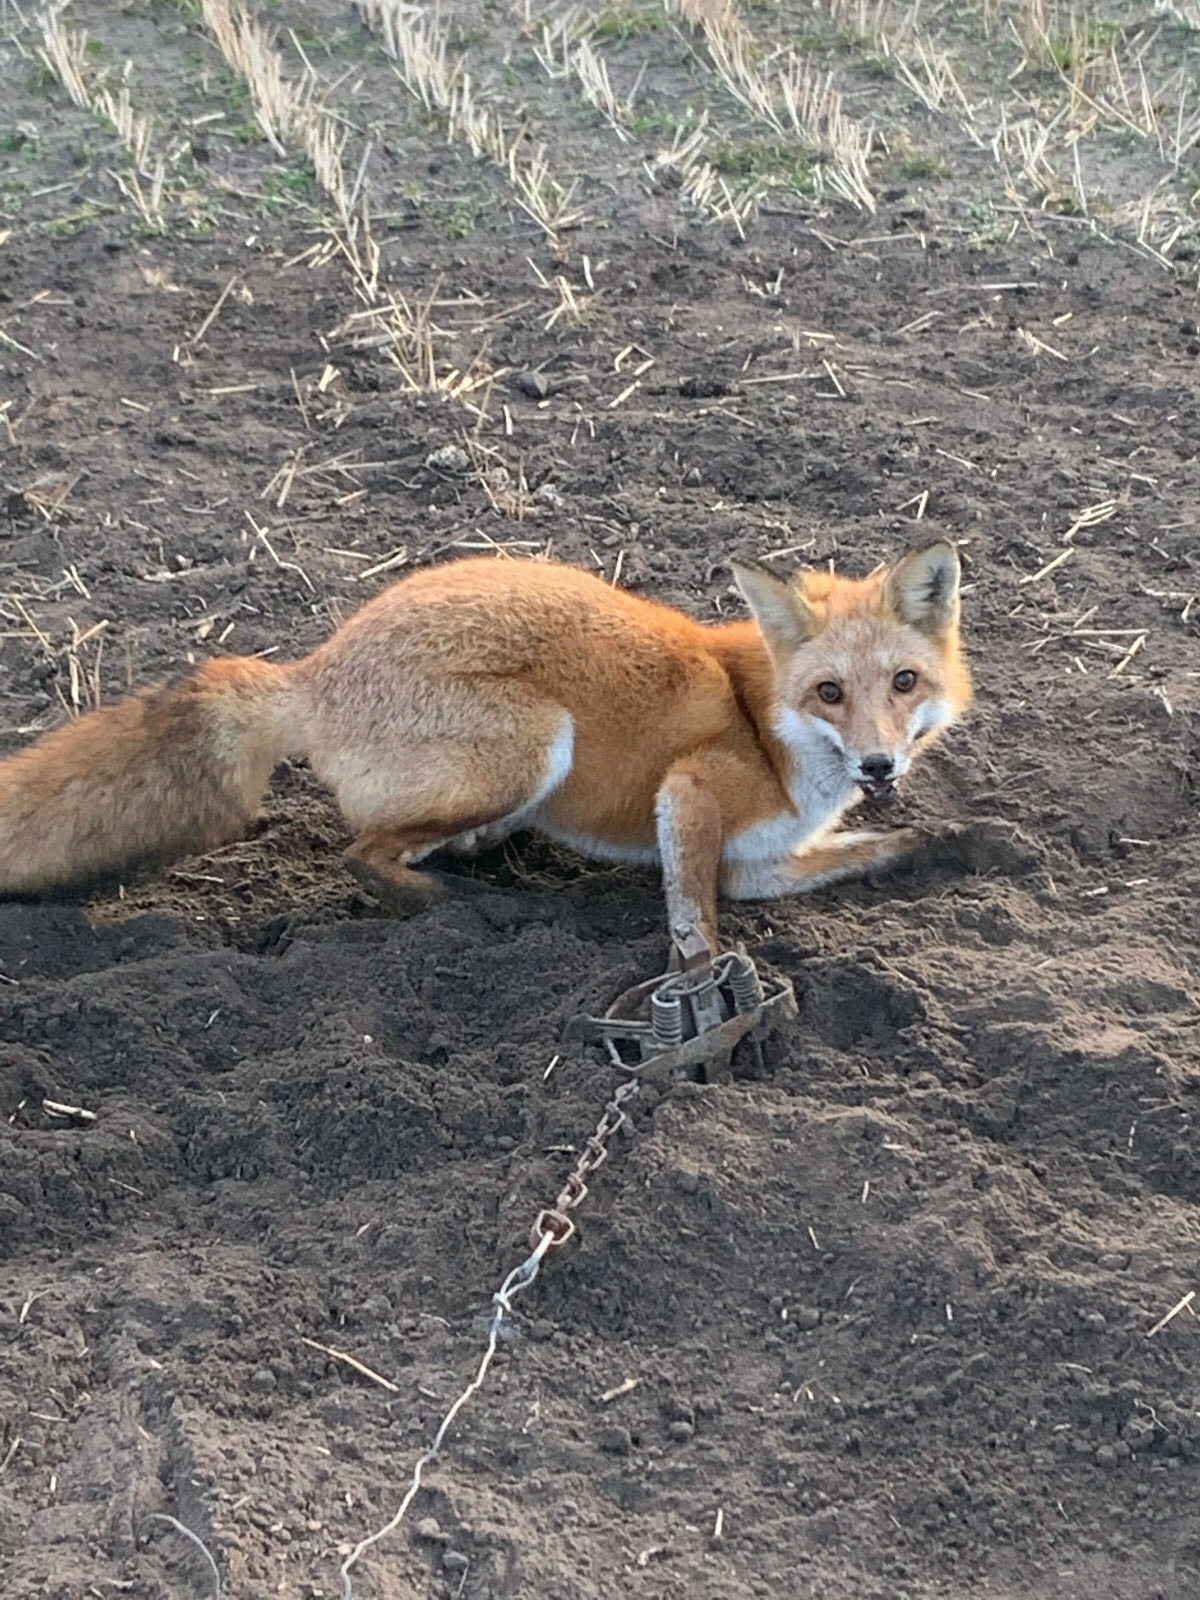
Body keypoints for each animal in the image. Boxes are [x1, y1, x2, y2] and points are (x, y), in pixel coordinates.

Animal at [0, 540, 971, 956]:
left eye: (903, 684)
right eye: (830, 693)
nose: (879, 765)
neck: (770, 732)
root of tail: (315, 670)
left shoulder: (764, 863)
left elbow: (887, 847)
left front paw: (969, 844)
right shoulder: (689, 793)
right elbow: (695, 917)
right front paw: (706, 994)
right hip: (534, 745)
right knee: (363, 856)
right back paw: (458, 907)